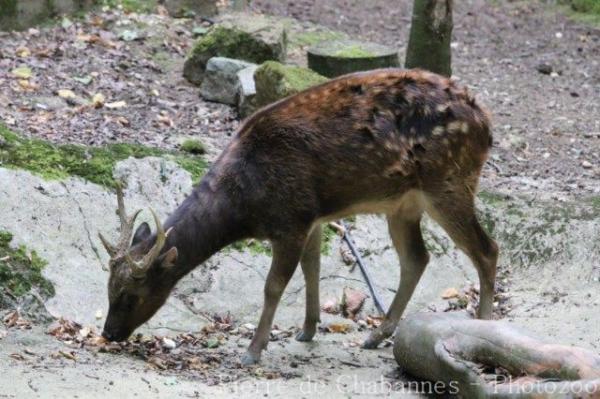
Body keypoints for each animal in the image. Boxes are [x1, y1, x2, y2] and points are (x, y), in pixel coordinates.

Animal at [101, 68, 500, 366]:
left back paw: (482, 325)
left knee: (487, 249)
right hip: (403, 204)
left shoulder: (291, 219)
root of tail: (486, 122)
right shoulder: (313, 216)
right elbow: (313, 268)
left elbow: (273, 285)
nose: (108, 333)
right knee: (418, 258)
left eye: (131, 295)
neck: (245, 202)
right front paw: (308, 329)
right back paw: (376, 335)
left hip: (449, 181)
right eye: (108, 289)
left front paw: (253, 350)